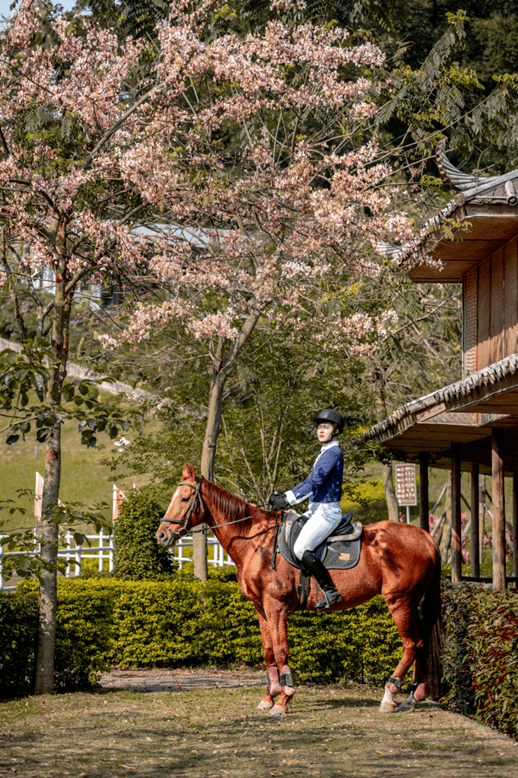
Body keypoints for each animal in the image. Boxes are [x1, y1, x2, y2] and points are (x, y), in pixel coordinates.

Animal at [156, 460, 444, 716]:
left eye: (184, 499)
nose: (161, 535)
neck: (255, 542)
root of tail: (425, 536)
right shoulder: (261, 607)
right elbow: (268, 650)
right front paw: (269, 697)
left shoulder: (276, 606)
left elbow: (281, 649)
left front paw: (284, 698)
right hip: (412, 602)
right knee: (421, 643)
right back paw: (412, 697)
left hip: (399, 601)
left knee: (411, 644)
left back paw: (389, 695)